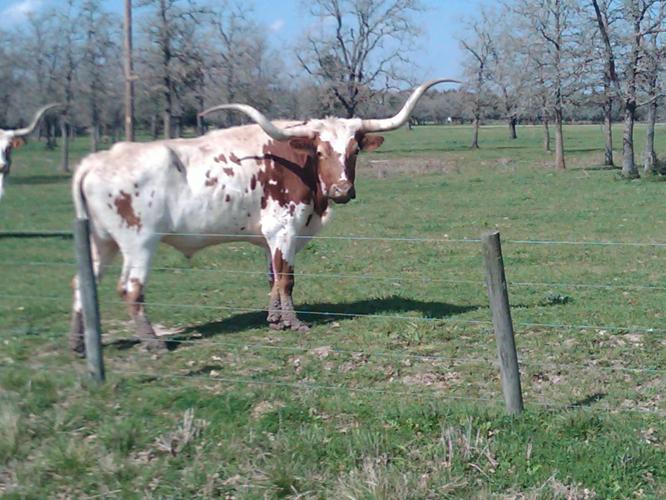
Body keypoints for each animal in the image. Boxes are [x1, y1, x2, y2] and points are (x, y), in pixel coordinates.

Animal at [71, 78, 456, 352]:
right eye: (320, 150)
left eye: (355, 150)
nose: (342, 191)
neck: (299, 166)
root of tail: (96, 160)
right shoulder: (285, 228)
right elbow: (287, 278)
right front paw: (293, 323)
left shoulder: (270, 236)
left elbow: (272, 276)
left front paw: (273, 318)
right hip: (139, 242)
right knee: (130, 289)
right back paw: (153, 343)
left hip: (100, 241)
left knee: (81, 282)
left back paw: (78, 343)